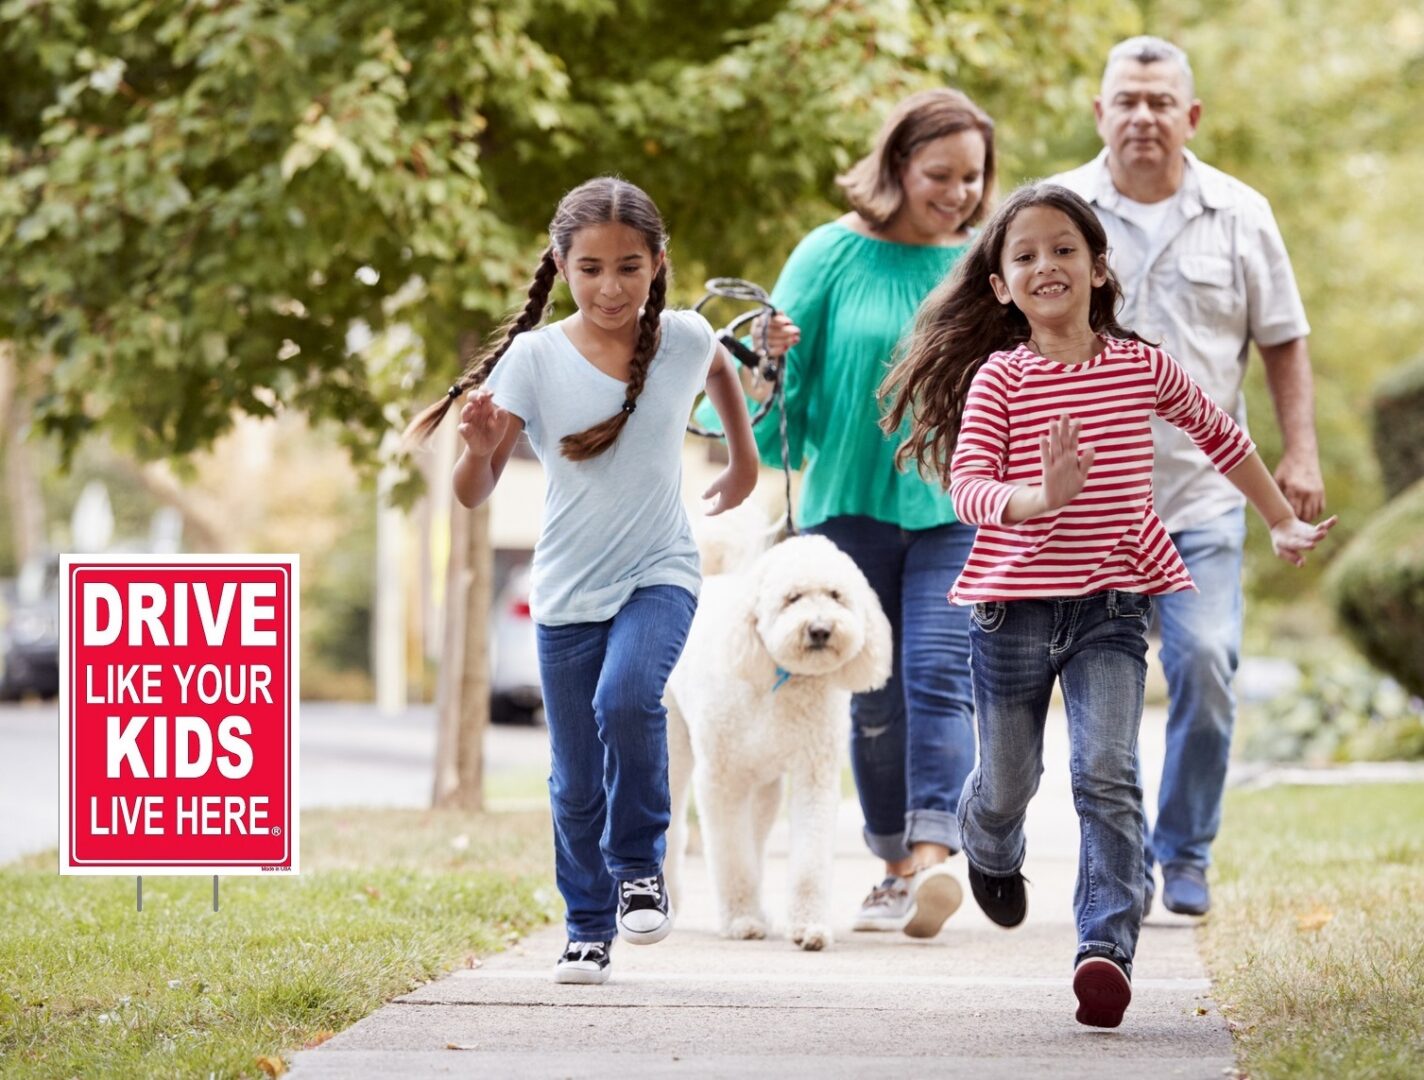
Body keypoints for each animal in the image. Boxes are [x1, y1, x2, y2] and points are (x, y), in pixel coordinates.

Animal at [666, 521, 888, 951]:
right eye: (792, 598)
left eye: (835, 596)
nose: (820, 629)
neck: (782, 678)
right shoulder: (721, 779)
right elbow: (731, 857)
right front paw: (741, 920)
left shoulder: (813, 775)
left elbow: (808, 860)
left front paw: (808, 926)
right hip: (674, 745)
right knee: (672, 827)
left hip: (764, 784)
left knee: (756, 834)